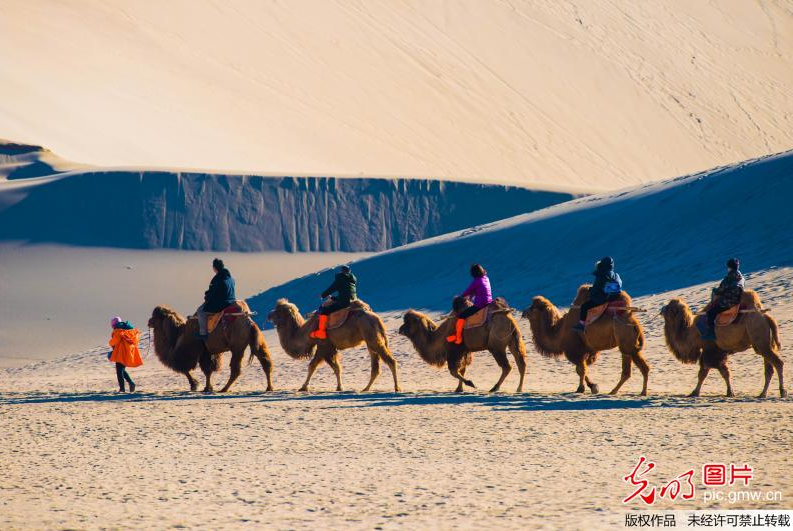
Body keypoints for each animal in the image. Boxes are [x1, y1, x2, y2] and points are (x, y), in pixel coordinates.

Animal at [268, 300, 402, 394]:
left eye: (278, 310)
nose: (268, 315)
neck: (306, 332)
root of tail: (377, 318)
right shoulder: (328, 347)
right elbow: (331, 367)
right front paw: (338, 387)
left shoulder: (324, 346)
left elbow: (317, 366)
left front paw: (304, 387)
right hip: (372, 340)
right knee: (376, 366)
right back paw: (366, 388)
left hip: (373, 338)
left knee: (390, 361)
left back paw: (397, 387)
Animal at [396, 300, 524, 394]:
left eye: (408, 322)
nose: (400, 329)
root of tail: (509, 318)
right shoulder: (464, 351)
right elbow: (462, 369)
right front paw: (459, 389)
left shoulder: (454, 351)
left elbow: (454, 371)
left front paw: (470, 383)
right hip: (513, 340)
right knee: (520, 362)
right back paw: (519, 388)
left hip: (496, 347)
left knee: (507, 366)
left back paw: (495, 388)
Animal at [520, 286, 648, 394]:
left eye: (532, 308)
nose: (523, 312)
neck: (559, 332)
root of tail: (634, 322)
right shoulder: (587, 350)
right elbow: (582, 368)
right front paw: (593, 386)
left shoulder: (574, 350)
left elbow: (581, 369)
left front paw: (581, 388)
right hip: (627, 345)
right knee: (627, 371)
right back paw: (614, 391)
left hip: (628, 342)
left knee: (642, 367)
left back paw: (642, 392)